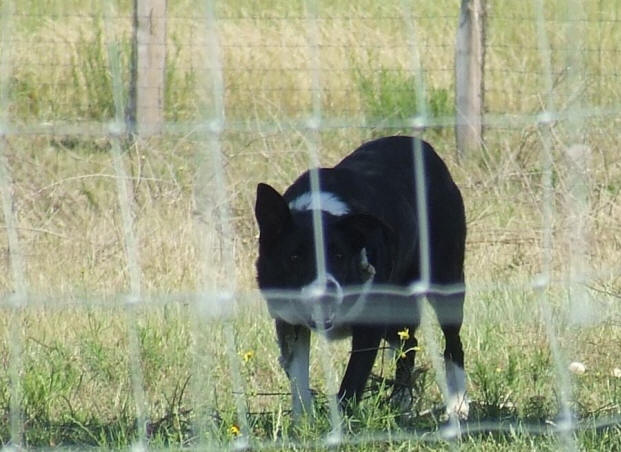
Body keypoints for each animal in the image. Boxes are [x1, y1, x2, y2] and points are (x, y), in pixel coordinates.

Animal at [254, 135, 468, 420]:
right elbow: (298, 377)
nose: (326, 292)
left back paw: (458, 405)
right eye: (295, 257)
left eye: (339, 256)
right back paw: (401, 403)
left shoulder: (369, 326)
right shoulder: (290, 322)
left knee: (453, 344)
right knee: (408, 342)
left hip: (445, 281)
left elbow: (352, 381)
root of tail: (423, 146)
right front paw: (304, 421)